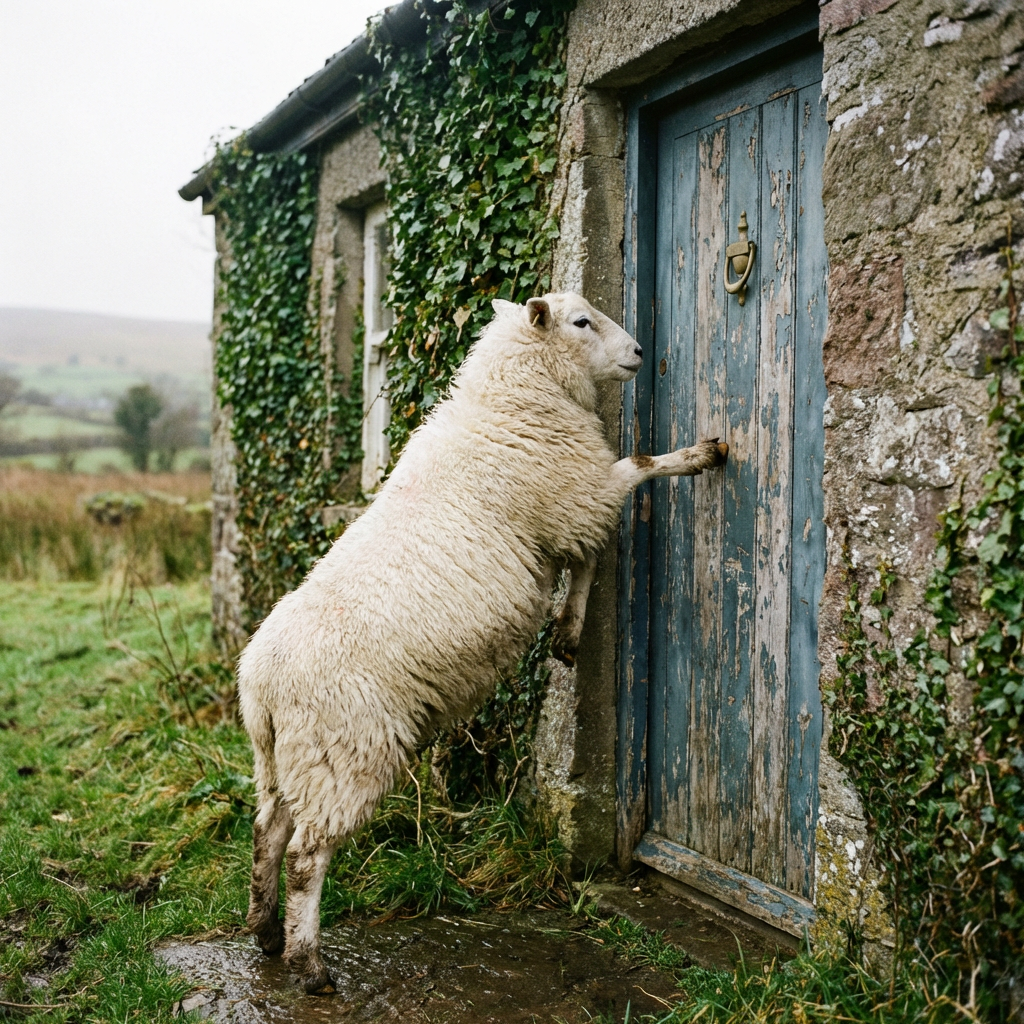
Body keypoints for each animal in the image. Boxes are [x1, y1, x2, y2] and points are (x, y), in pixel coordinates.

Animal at [236, 291, 727, 993]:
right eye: (581, 322)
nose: (638, 352)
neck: (511, 396)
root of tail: (260, 686)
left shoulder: (564, 514)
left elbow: (585, 562)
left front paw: (567, 636)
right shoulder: (574, 496)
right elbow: (633, 475)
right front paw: (699, 455)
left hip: (284, 758)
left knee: (267, 830)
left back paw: (266, 930)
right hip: (346, 750)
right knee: (306, 853)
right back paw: (310, 964)